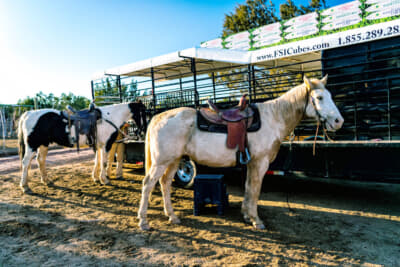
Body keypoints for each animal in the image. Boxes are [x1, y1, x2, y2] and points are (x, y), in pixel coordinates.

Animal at [17, 101, 145, 194]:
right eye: (144, 111)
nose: (142, 130)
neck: (110, 117)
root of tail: (28, 114)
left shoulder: (99, 145)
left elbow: (97, 161)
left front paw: (96, 178)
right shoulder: (106, 145)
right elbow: (103, 162)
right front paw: (104, 180)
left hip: (44, 144)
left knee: (40, 160)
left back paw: (46, 181)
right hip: (32, 145)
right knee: (26, 162)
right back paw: (25, 186)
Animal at [138, 75, 344, 230]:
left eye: (330, 95)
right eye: (319, 98)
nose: (338, 121)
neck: (273, 118)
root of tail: (159, 116)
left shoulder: (251, 163)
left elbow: (248, 188)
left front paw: (246, 215)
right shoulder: (260, 163)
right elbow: (254, 190)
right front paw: (256, 220)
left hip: (174, 160)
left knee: (165, 184)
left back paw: (172, 216)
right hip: (162, 162)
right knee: (148, 184)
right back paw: (143, 221)